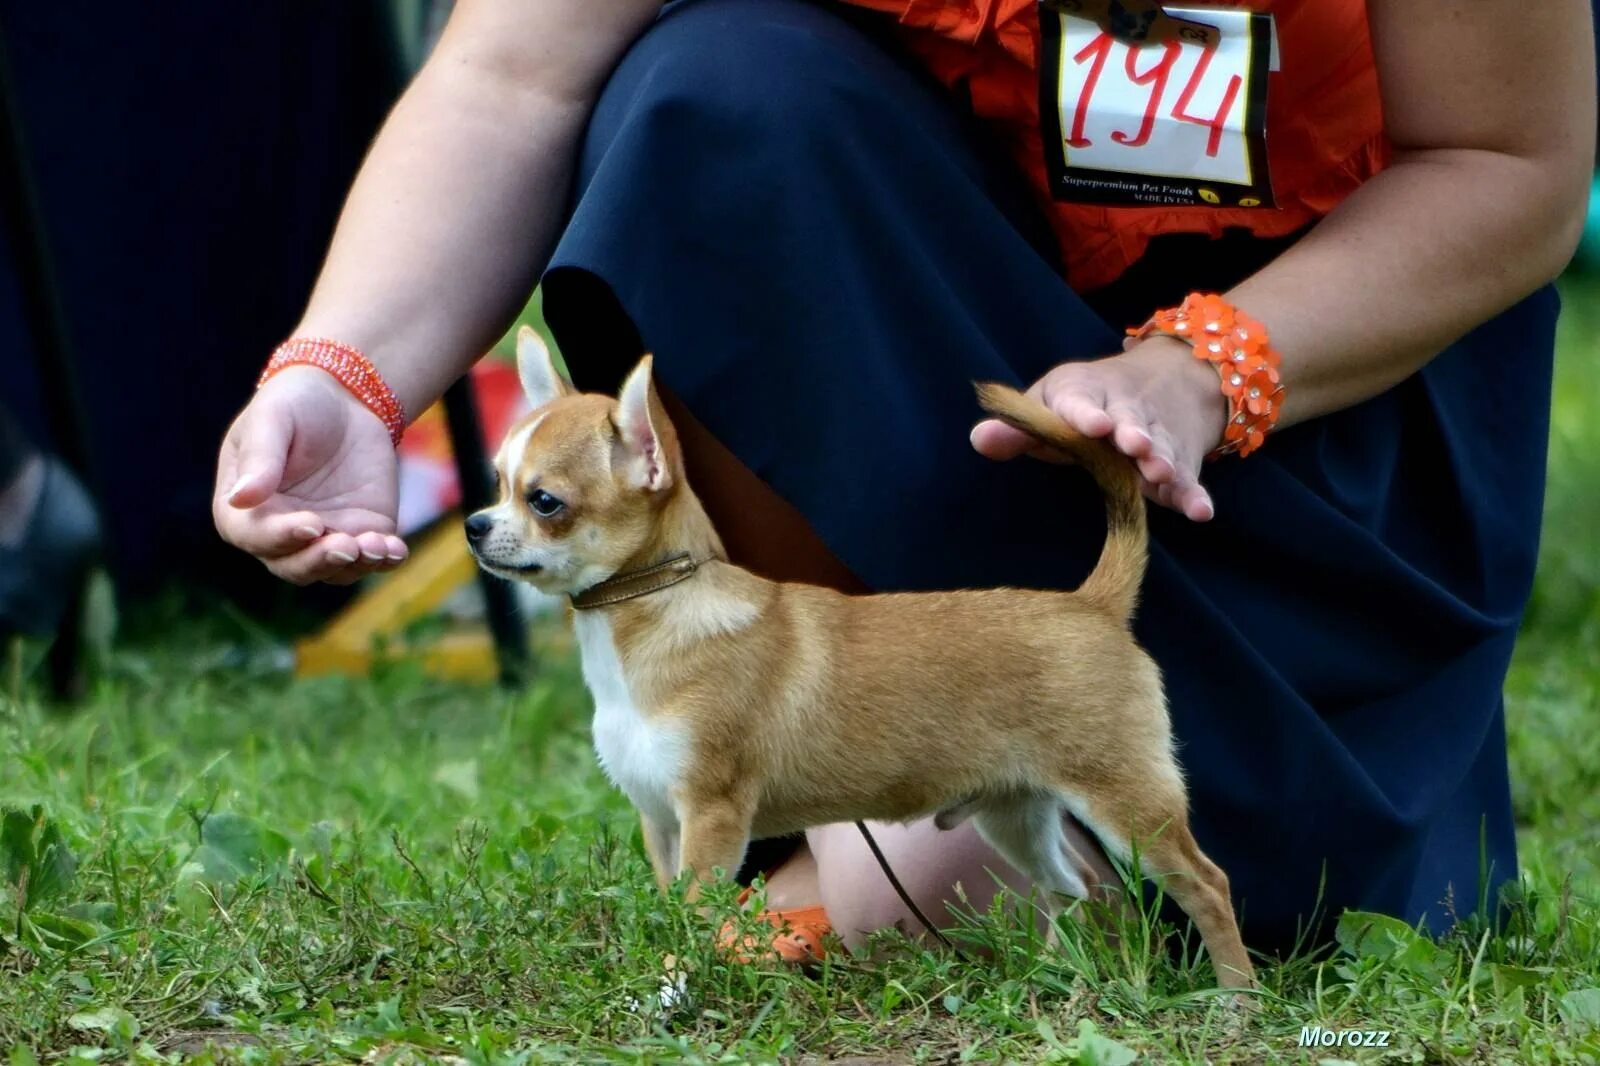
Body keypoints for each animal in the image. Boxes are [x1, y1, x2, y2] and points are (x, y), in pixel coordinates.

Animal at [467, 328, 1254, 985]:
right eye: (495, 482)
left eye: (544, 501)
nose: (473, 525)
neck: (650, 615)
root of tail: (1090, 604)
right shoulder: (662, 823)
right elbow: (669, 911)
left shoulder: (711, 820)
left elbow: (690, 923)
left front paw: (674, 987)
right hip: (1016, 812)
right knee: (1073, 887)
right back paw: (1069, 980)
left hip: (1127, 803)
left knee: (1207, 884)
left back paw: (1234, 998)